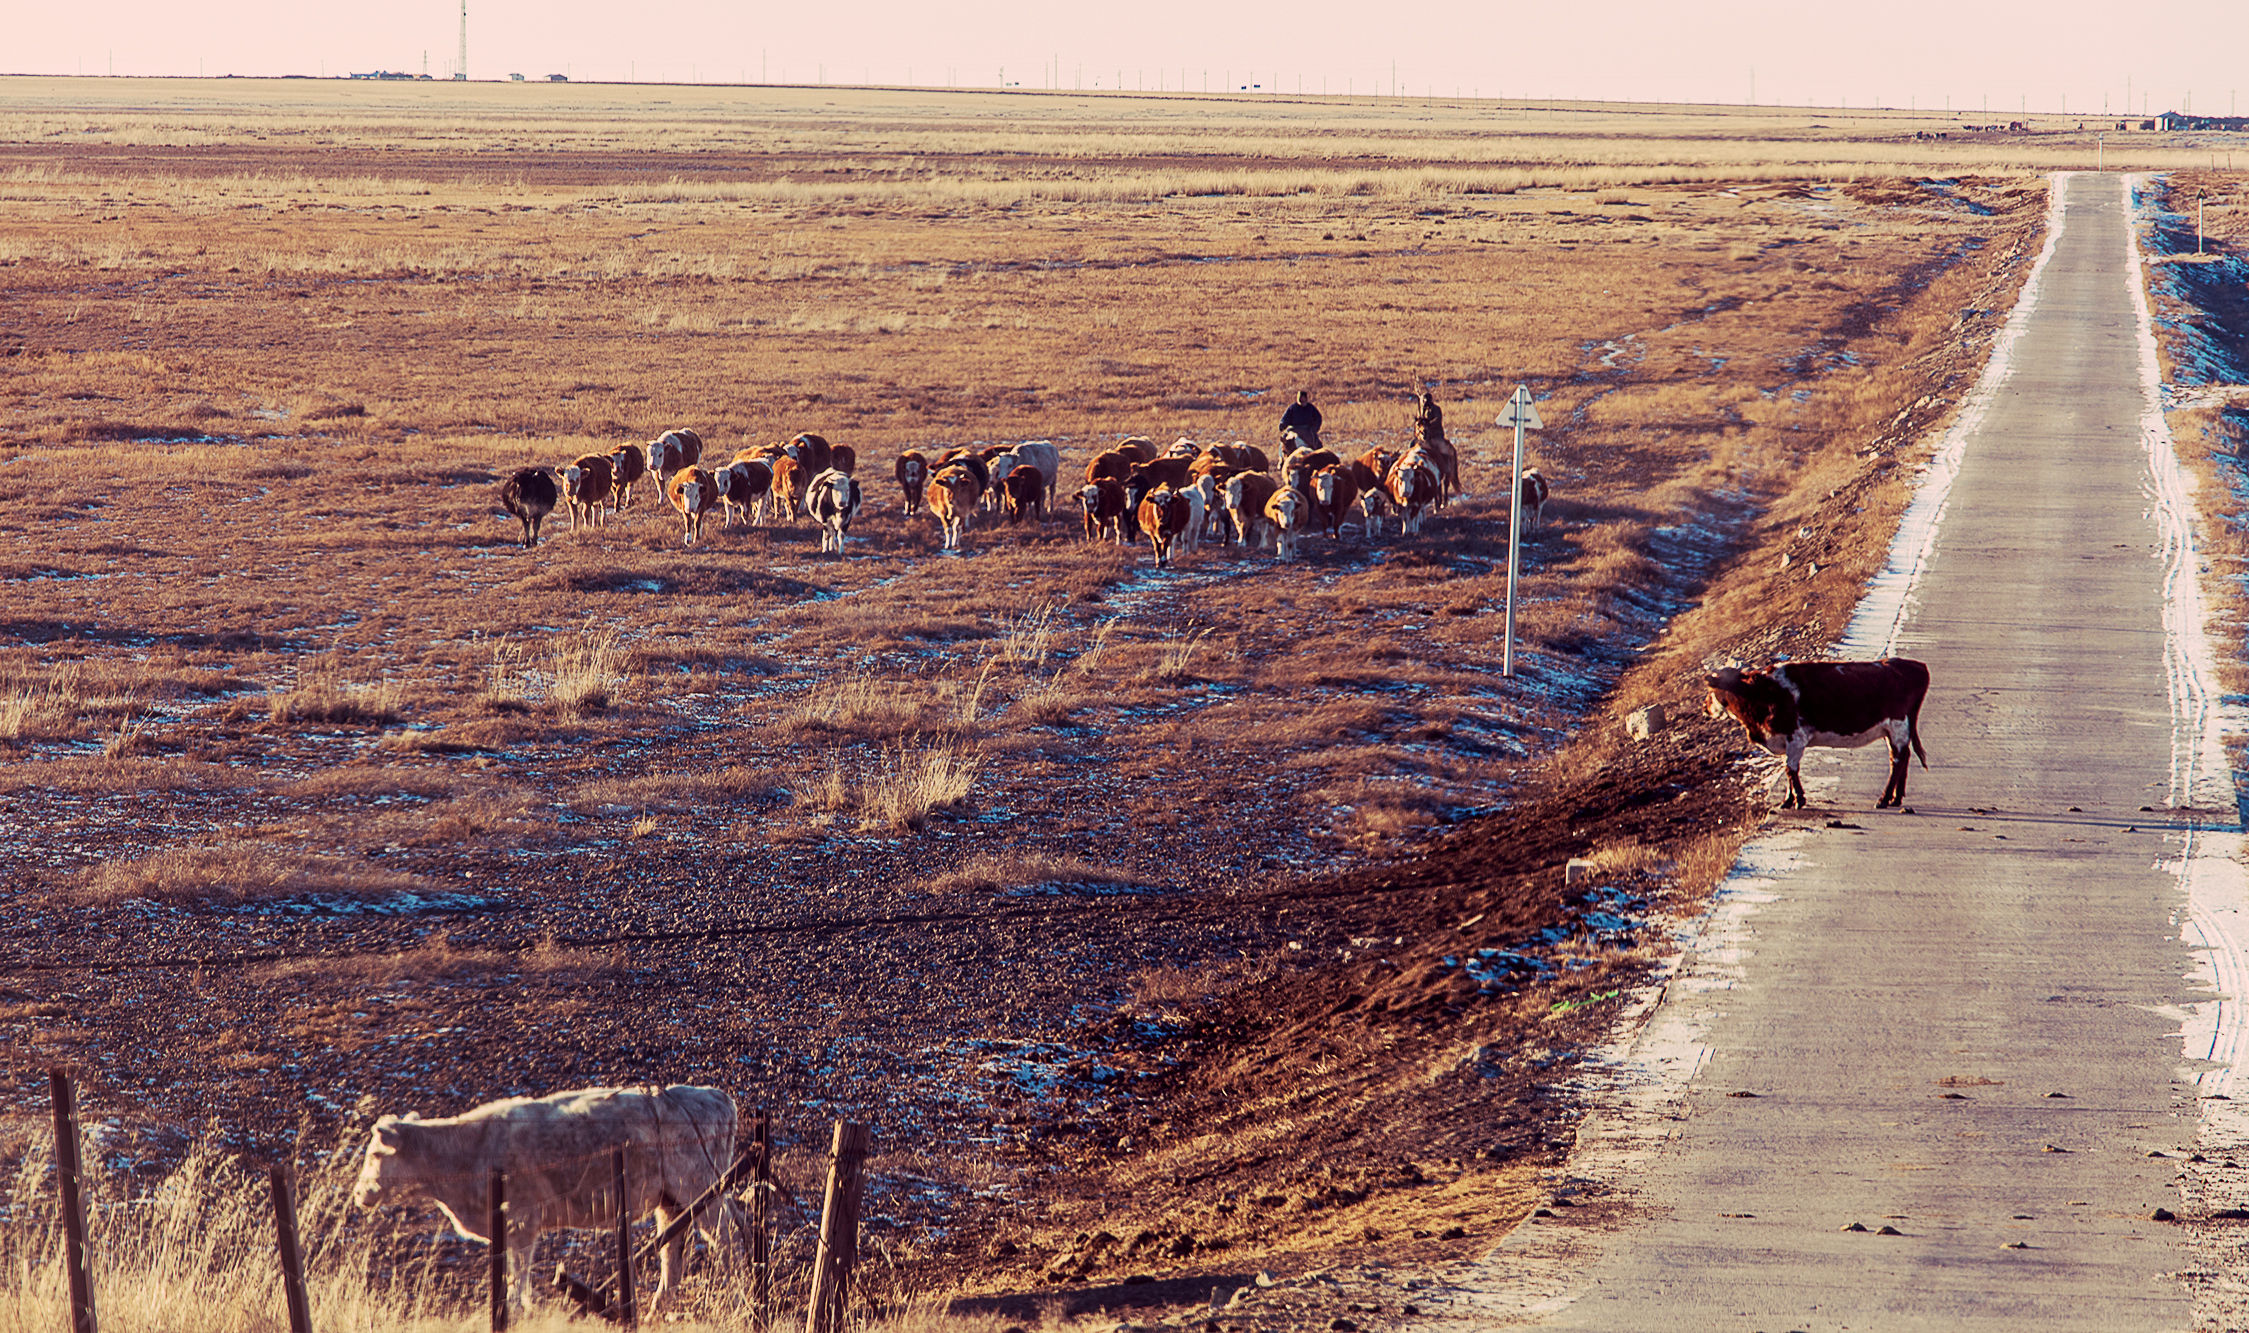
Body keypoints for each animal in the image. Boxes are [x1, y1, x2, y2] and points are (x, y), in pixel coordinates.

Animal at [350, 1078, 737, 1312]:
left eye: (375, 1154)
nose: (359, 1194)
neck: (472, 1149)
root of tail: (712, 1095)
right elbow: (511, 1271)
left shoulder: (523, 1221)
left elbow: (519, 1272)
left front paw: (520, 1309)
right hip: (671, 1201)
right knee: (673, 1249)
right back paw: (659, 1305)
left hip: (702, 1188)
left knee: (730, 1236)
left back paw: (739, 1290)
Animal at [1700, 656, 1934, 809]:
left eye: (1711, 690)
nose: (1705, 707)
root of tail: (1913, 664)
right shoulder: (1787, 741)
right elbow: (1788, 769)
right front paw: (1788, 800)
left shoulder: (1796, 737)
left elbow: (1791, 769)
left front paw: (1798, 800)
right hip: (1892, 730)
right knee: (1902, 757)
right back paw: (1896, 798)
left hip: (1897, 725)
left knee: (1898, 760)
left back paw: (1884, 800)